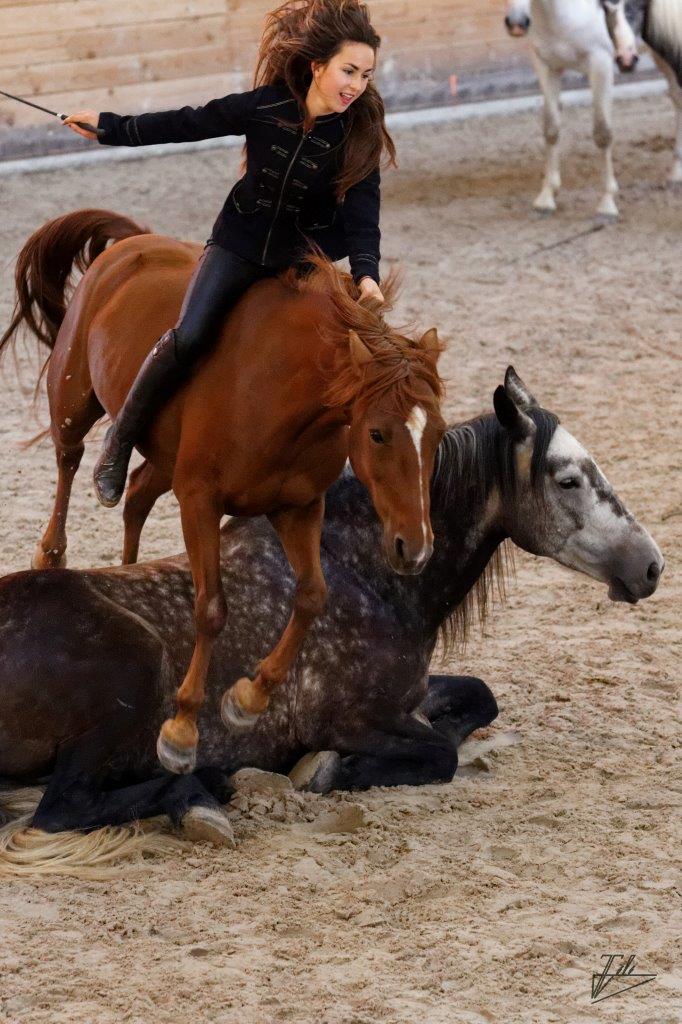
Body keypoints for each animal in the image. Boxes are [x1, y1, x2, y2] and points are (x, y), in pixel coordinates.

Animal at [0, 372, 659, 843]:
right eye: (568, 479)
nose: (651, 565)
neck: (364, 571)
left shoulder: (409, 694)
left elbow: (478, 698)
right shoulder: (352, 718)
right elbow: (438, 753)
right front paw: (328, 770)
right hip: (133, 665)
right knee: (62, 809)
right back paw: (200, 797)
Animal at [1, 209, 446, 774]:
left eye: (437, 433)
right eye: (378, 433)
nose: (416, 548)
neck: (284, 392)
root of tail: (131, 243)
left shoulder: (299, 507)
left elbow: (312, 596)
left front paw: (247, 700)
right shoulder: (199, 501)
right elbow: (211, 608)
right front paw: (182, 730)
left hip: (163, 457)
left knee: (138, 496)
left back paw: (126, 570)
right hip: (74, 394)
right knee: (69, 458)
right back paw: (55, 548)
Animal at [501, 0, 634, 216]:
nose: (516, 23)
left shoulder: (601, 64)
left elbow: (602, 133)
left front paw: (607, 203)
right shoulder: (547, 66)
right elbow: (551, 129)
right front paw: (546, 197)